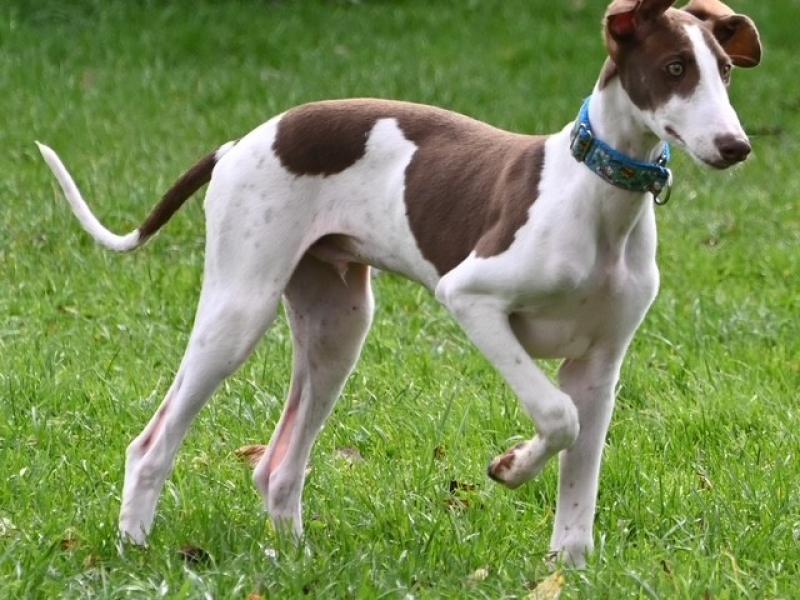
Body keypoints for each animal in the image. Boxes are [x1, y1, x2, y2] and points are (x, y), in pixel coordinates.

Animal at [37, 0, 761, 566]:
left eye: (723, 71)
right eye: (675, 68)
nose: (736, 147)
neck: (594, 194)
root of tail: (240, 142)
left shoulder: (600, 365)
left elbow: (579, 467)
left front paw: (565, 568)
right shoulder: (471, 297)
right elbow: (559, 416)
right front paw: (509, 468)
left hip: (338, 326)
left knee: (277, 467)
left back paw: (292, 557)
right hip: (238, 312)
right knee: (151, 444)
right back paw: (134, 545)